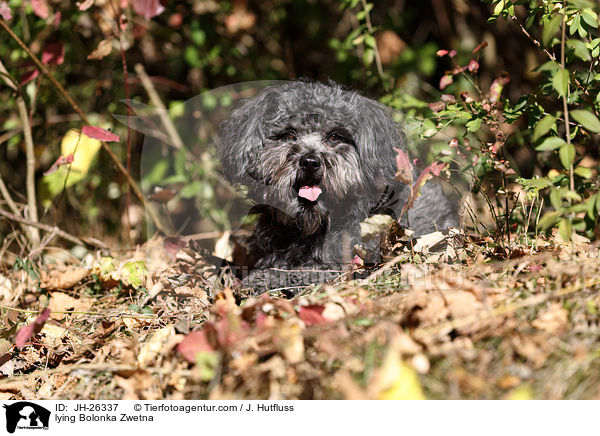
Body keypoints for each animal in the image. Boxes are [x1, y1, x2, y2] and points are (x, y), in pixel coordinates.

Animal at [218, 80, 458, 294]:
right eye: (289, 134)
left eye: (334, 136)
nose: (310, 162)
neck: (312, 226)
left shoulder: (353, 261)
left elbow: (309, 272)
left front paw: (263, 279)